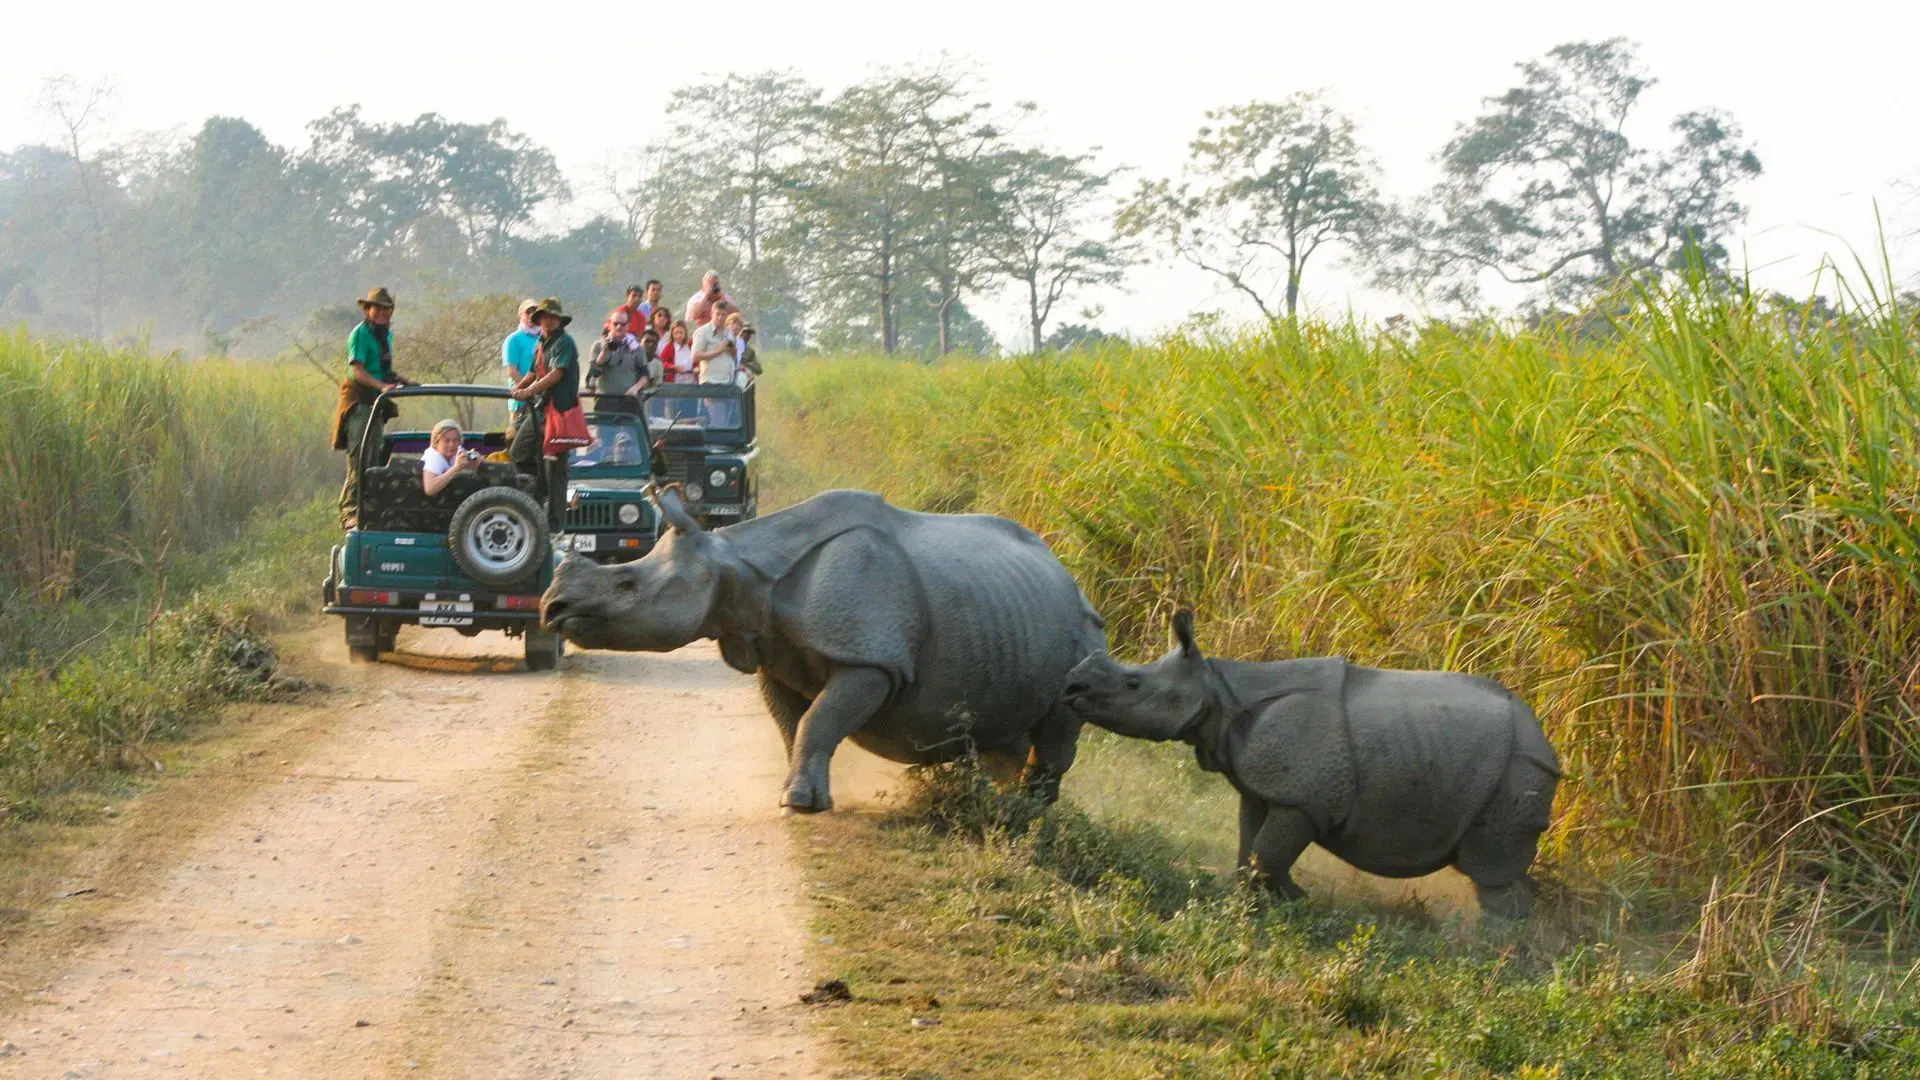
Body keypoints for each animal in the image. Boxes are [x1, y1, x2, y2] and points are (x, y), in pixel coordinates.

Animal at [541, 489, 1108, 812]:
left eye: (627, 583)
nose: (552, 607)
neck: (738, 567)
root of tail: (1066, 573)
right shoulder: (772, 655)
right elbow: (795, 726)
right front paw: (798, 792)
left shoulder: (874, 662)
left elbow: (819, 721)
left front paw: (798, 804)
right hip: (1006, 612)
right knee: (1004, 735)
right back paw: (1005, 805)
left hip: (1084, 630)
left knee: (1057, 723)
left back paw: (1030, 819)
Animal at [1062, 610, 1559, 919]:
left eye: (1132, 684)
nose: (1071, 688)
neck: (1219, 690)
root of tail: (1548, 744)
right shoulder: (1265, 789)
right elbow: (1251, 853)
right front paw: (1275, 903)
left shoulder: (1303, 800)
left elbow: (1266, 856)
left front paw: (1299, 903)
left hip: (1516, 768)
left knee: (1492, 874)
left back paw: (1497, 955)